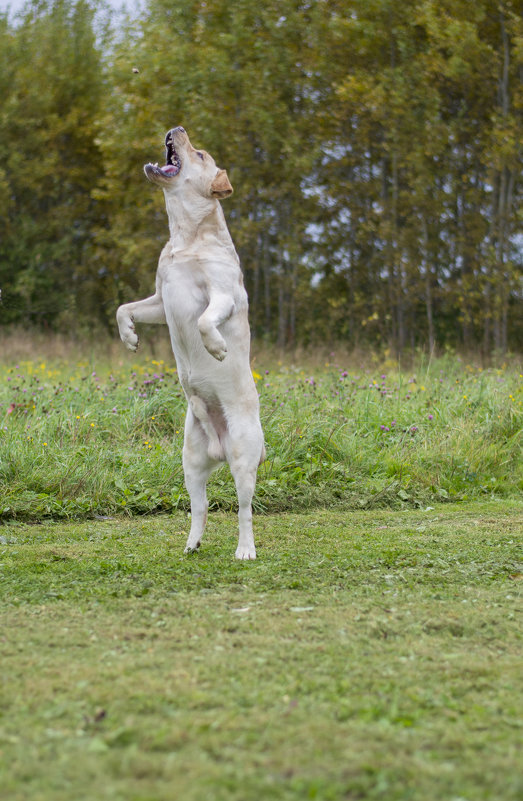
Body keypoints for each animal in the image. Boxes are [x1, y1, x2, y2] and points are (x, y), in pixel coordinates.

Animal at [116, 128, 264, 560]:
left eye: (199, 153)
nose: (175, 129)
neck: (186, 235)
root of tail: (219, 447)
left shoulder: (223, 295)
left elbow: (202, 320)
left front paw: (216, 347)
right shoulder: (159, 300)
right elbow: (123, 308)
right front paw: (129, 337)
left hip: (243, 457)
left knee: (245, 510)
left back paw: (245, 550)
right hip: (190, 460)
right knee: (200, 506)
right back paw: (192, 543)